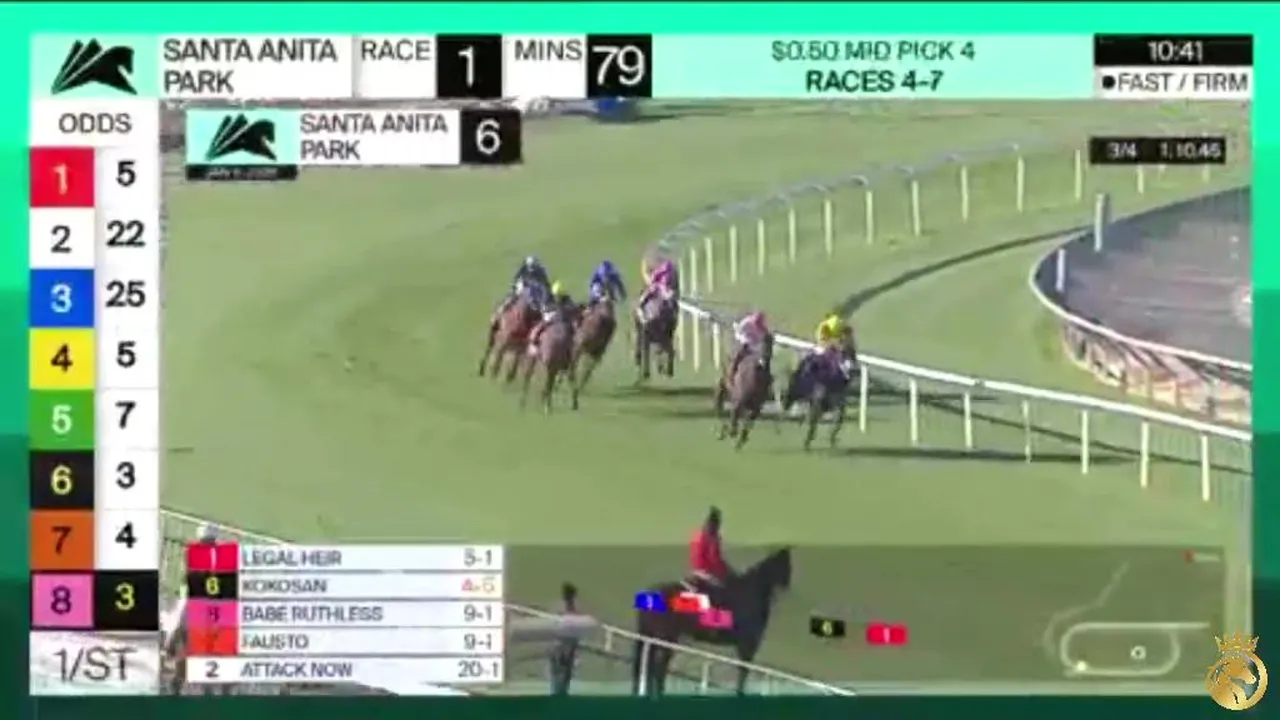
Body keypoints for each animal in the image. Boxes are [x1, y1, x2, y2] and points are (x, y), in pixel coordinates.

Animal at [630, 547, 792, 696]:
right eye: (786, 563)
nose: (788, 584)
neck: (749, 594)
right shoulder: (748, 644)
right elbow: (743, 672)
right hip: (667, 638)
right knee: (658, 668)